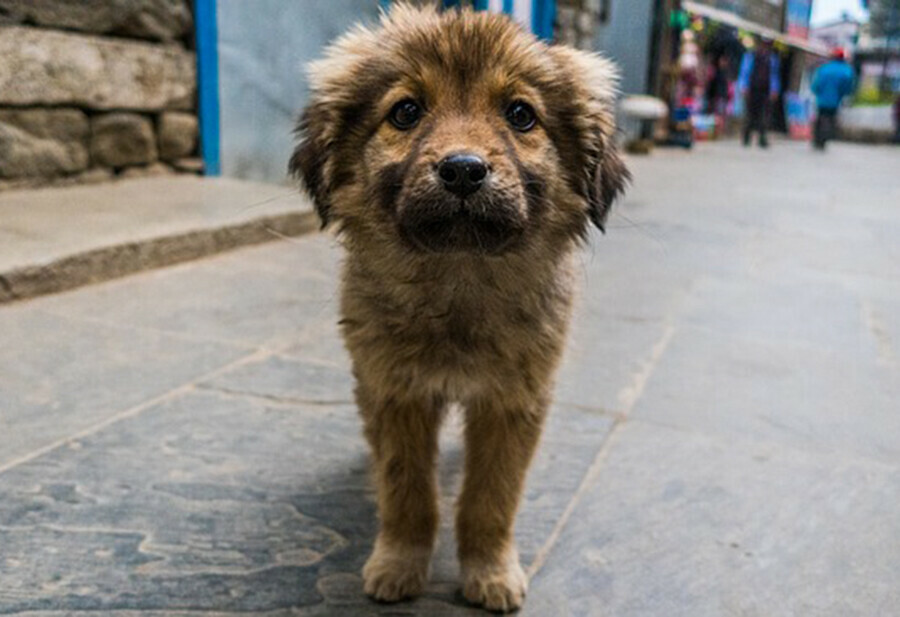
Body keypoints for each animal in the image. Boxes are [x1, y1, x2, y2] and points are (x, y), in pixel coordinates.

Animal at [292, 4, 628, 612]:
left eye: (521, 114)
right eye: (406, 111)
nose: (464, 170)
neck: (458, 283)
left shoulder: (513, 401)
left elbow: (490, 499)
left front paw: (490, 571)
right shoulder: (395, 390)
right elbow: (407, 492)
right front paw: (399, 564)